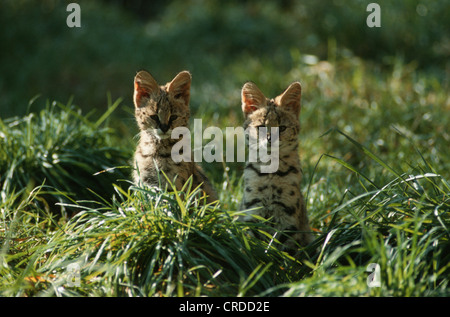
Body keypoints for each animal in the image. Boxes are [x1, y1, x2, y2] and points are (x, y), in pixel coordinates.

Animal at [133, 69, 217, 202]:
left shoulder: (174, 186)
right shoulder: (145, 182)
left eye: (173, 117)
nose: (164, 128)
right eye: (154, 117)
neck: (158, 151)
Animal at [239, 80, 312, 251]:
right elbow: (252, 244)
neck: (270, 173)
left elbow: (284, 252)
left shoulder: (288, 217)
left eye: (282, 128)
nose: (270, 139)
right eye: (261, 127)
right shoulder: (253, 211)